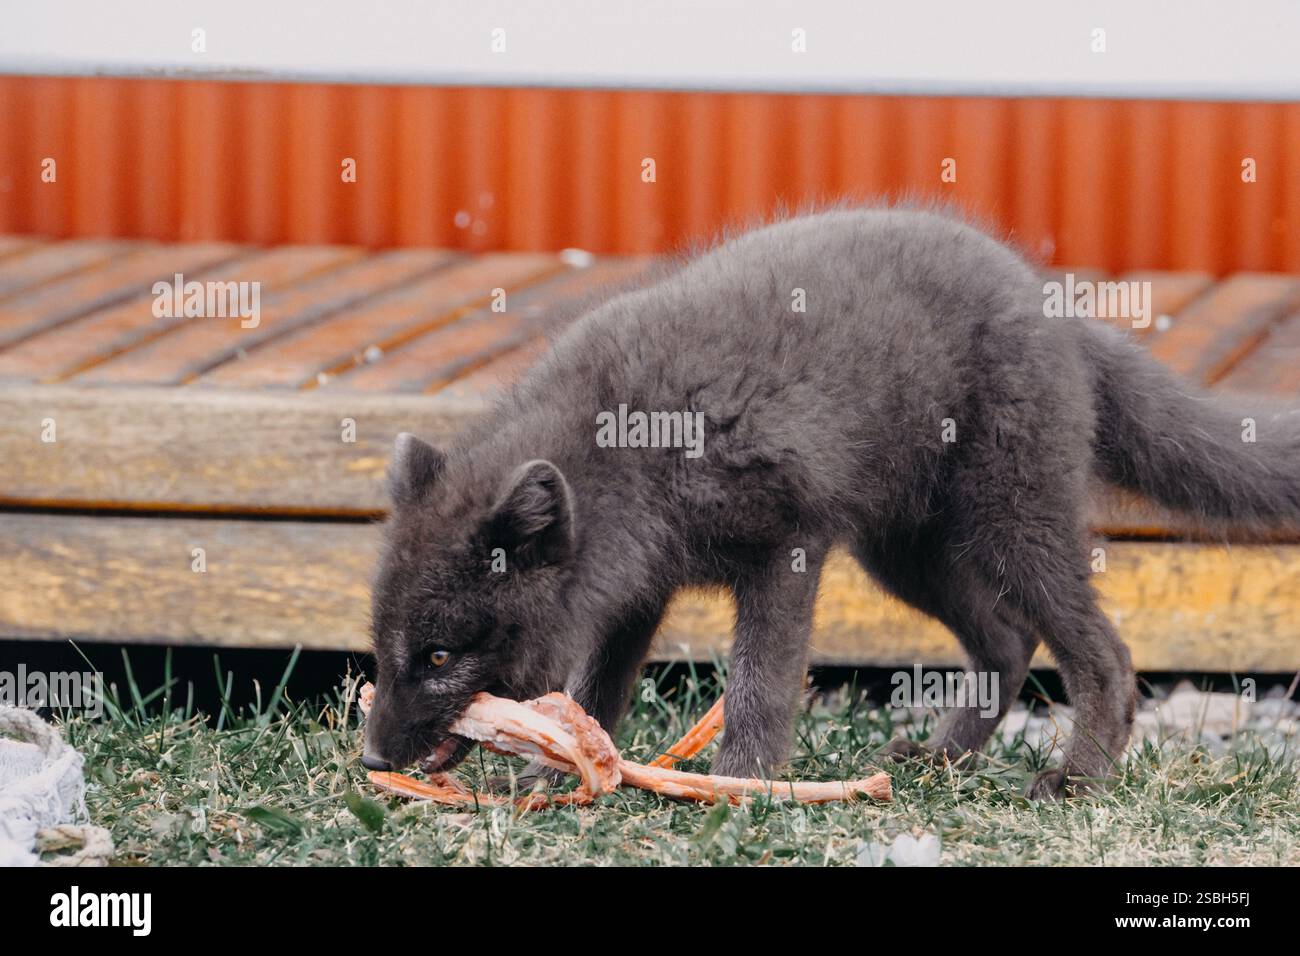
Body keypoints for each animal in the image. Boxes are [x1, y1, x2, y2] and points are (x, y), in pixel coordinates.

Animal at [361, 205, 1299, 799]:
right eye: (384, 649)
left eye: (439, 657)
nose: (368, 762)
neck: (626, 443)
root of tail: (1058, 310)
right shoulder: (636, 590)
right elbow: (596, 687)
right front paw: (555, 773)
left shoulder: (788, 550)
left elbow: (762, 684)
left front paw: (740, 783)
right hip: (909, 557)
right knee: (1006, 641)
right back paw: (941, 761)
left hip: (1013, 531)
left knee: (1103, 654)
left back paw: (1077, 778)